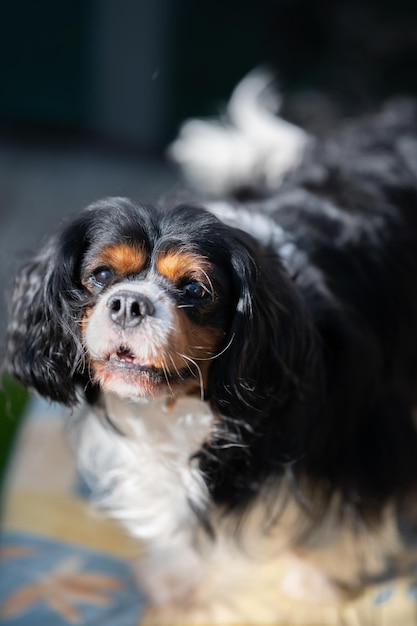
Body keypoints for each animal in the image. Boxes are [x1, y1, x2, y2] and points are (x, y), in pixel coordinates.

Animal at [6, 73, 417, 620]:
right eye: (102, 275)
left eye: (195, 290)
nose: (129, 303)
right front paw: (178, 581)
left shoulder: (368, 432)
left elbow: (343, 520)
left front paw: (315, 583)